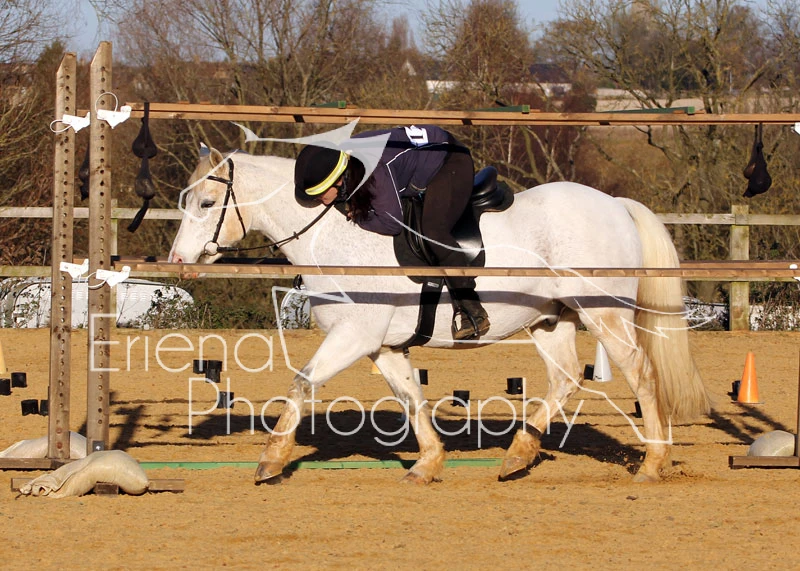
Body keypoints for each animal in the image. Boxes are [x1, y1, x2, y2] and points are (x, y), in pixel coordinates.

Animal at [168, 145, 710, 485]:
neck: (335, 236)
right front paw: (427, 464)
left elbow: (302, 383)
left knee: (639, 371)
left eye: (208, 202)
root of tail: (614, 204)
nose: (178, 261)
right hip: (548, 319)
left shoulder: (352, 335)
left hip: (603, 312)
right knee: (565, 378)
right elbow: (411, 399)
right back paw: (518, 456)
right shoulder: (383, 345)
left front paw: (270, 461)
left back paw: (652, 463)